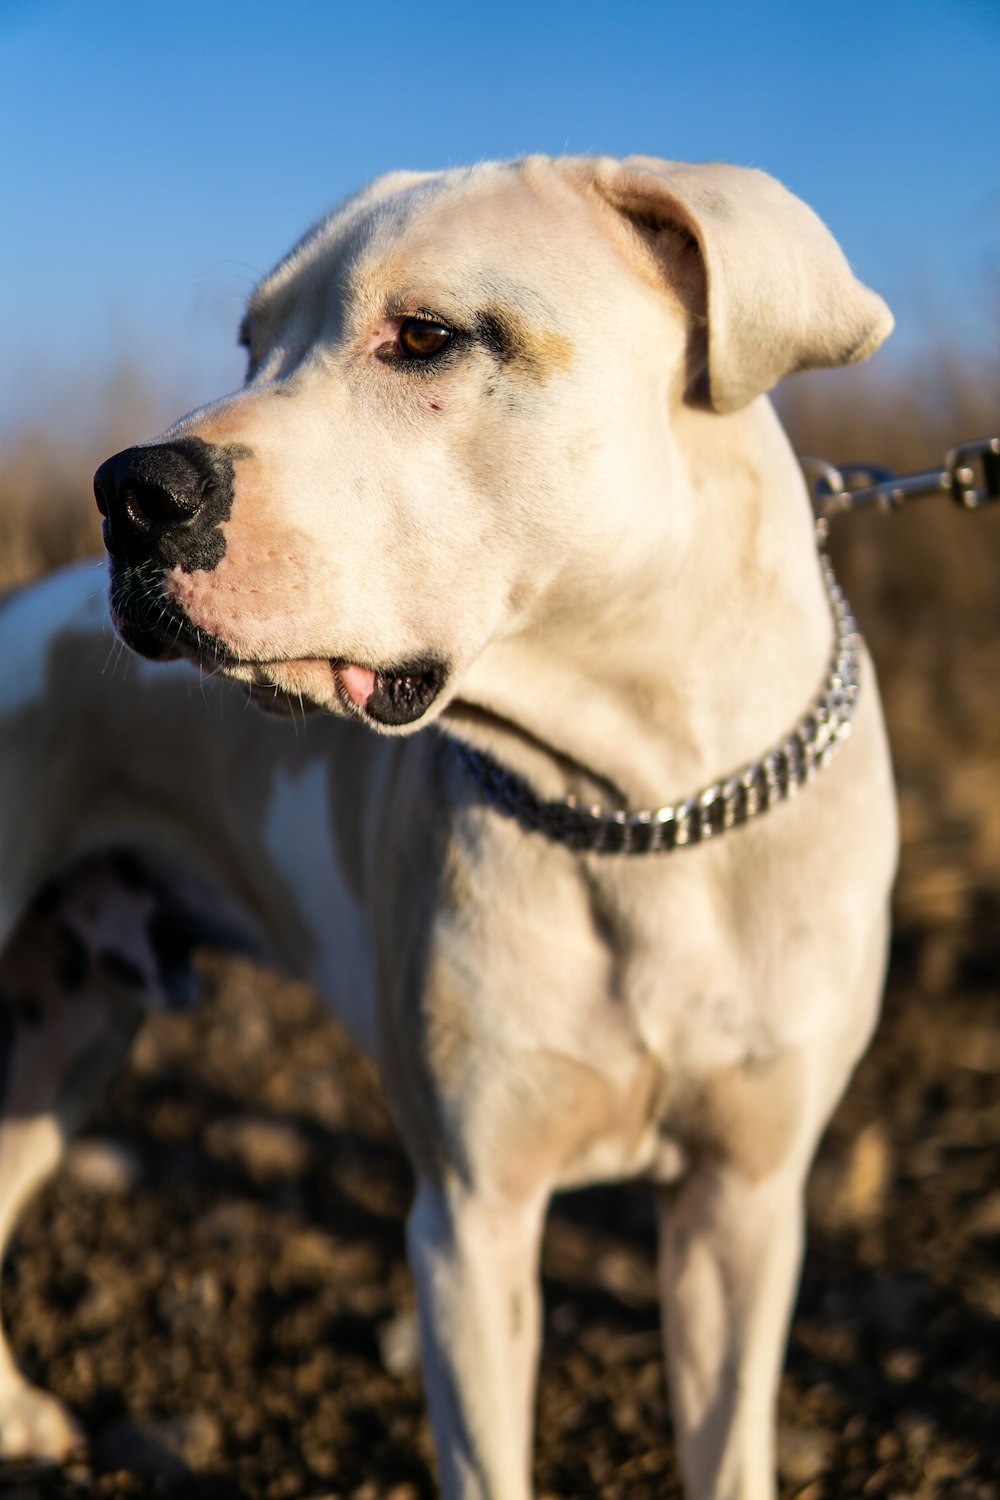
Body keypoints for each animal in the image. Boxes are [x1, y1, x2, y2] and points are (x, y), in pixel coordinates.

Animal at [0, 158, 893, 1494]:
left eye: (425, 337)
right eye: (253, 343)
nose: (128, 493)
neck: (639, 805)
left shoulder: (741, 1209)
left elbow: (729, 1445)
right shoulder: (472, 1223)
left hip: (69, 1035)